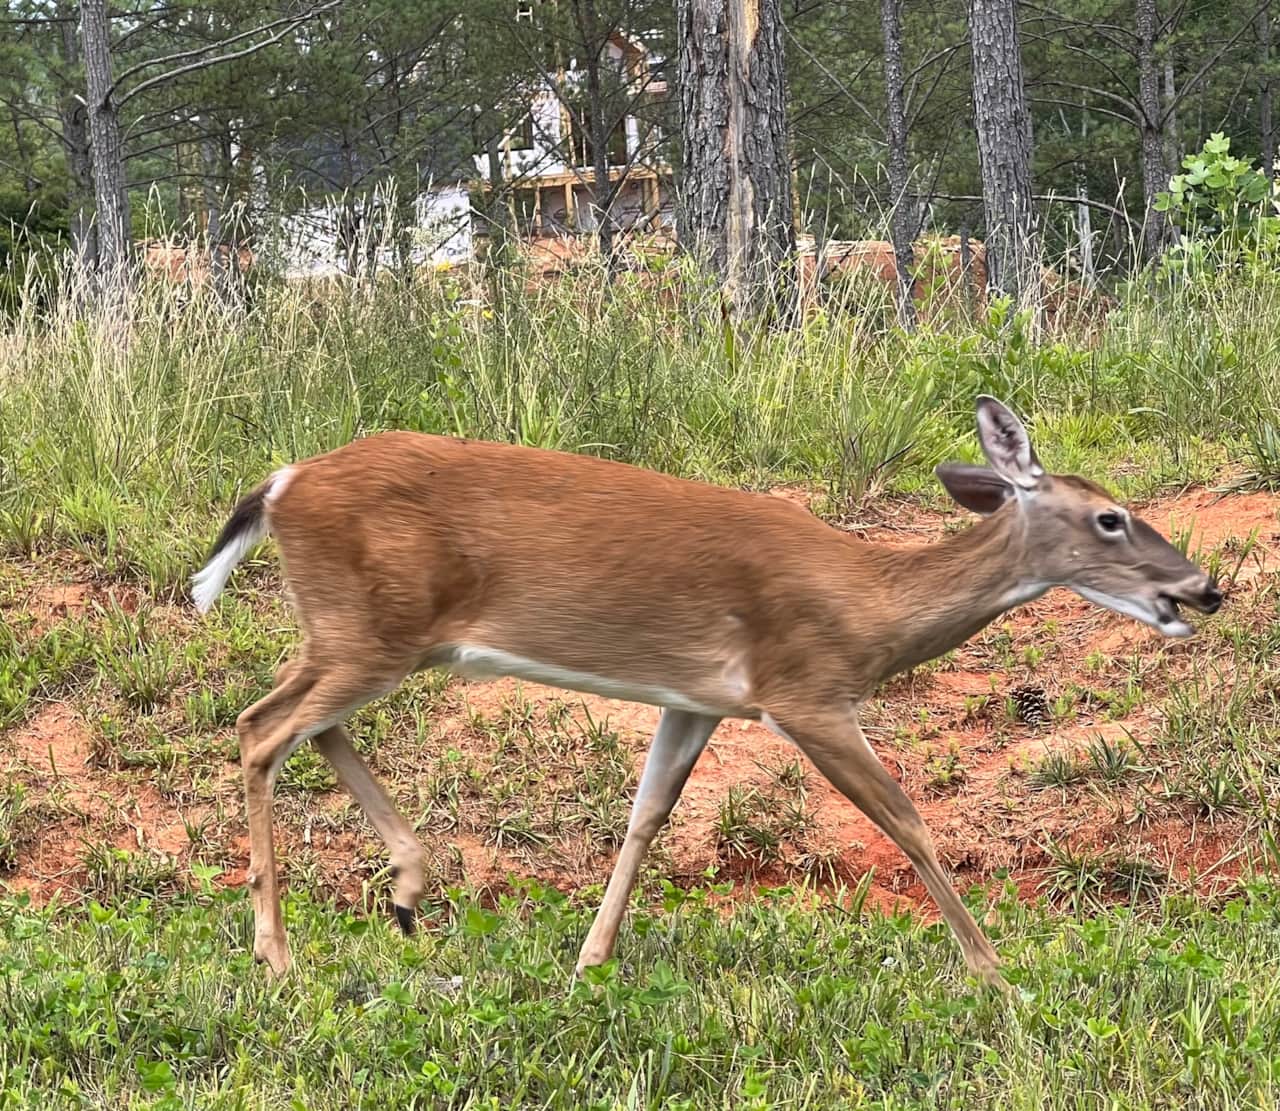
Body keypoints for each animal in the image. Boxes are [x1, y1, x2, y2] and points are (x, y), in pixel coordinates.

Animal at [191, 396, 1222, 989]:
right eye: (1112, 518)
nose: (1204, 587)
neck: (872, 602)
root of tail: (280, 485)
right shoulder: (805, 688)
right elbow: (906, 820)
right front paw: (996, 973)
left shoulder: (696, 697)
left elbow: (645, 817)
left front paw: (590, 960)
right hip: (370, 630)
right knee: (262, 728)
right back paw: (276, 950)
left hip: (373, 635)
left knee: (288, 721)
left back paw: (406, 889)